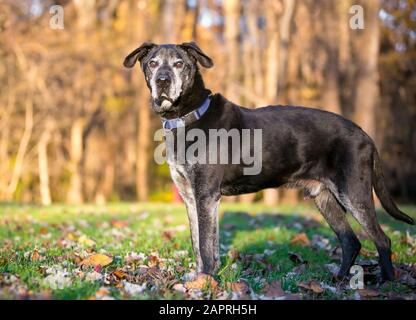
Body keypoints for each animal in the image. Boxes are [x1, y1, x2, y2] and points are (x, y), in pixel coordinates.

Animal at [123, 41, 412, 282]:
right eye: (152, 63)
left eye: (179, 63)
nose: (162, 81)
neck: (188, 116)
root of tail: (365, 135)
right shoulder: (191, 197)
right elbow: (199, 244)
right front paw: (200, 277)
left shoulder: (206, 195)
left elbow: (205, 245)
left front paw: (205, 281)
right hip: (324, 197)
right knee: (351, 242)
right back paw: (339, 280)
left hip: (354, 192)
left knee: (382, 239)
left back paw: (386, 281)